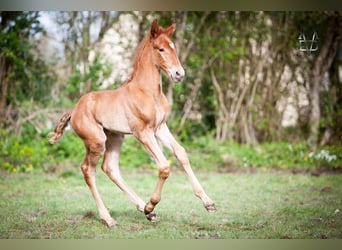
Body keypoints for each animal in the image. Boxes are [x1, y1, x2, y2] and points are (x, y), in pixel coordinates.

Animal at [49, 18, 215, 228]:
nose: (179, 74)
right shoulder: (142, 132)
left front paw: (208, 203)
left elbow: (181, 154)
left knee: (110, 168)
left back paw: (144, 210)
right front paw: (151, 204)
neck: (147, 92)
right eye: (161, 49)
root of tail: (74, 110)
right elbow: (164, 166)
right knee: (88, 170)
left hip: (115, 137)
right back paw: (110, 218)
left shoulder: (160, 128)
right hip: (96, 141)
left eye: (174, 47)